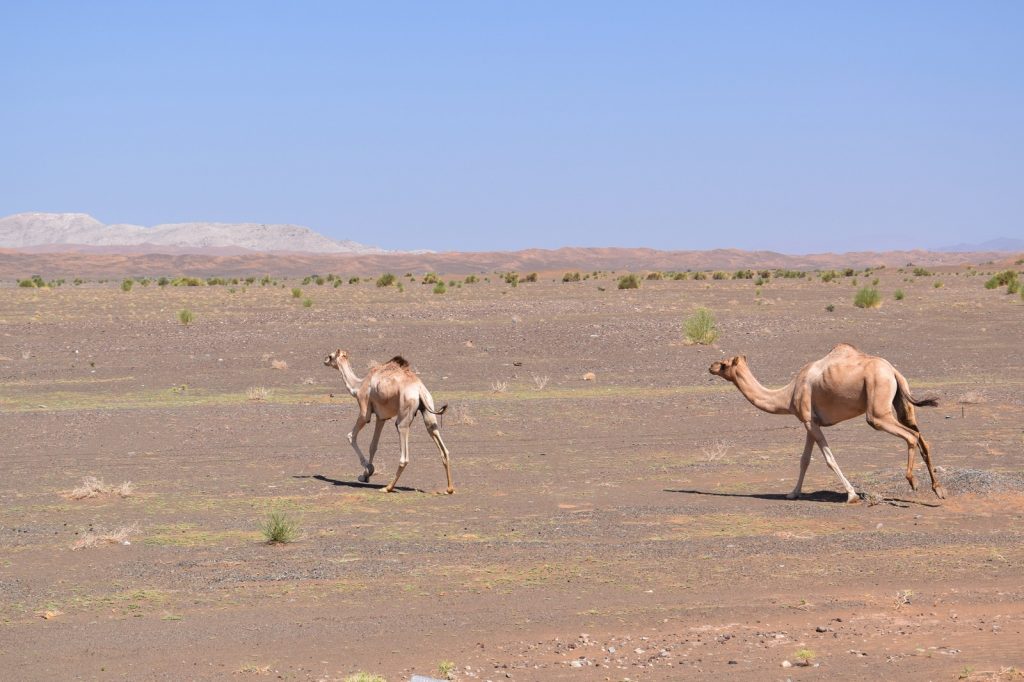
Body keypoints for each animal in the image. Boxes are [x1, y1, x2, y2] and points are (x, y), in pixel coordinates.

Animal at [323, 348, 452, 491]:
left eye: (330, 356)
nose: (325, 360)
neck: (358, 386)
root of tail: (419, 389)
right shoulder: (381, 417)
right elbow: (373, 446)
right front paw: (366, 475)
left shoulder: (364, 410)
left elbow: (351, 436)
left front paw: (367, 470)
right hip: (428, 407)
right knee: (439, 442)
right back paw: (449, 489)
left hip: (405, 412)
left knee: (403, 450)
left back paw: (388, 487)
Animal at [712, 342, 942, 501]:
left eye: (724, 364)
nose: (711, 366)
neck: (788, 394)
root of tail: (893, 371)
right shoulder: (810, 422)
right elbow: (804, 460)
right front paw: (793, 493)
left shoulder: (809, 420)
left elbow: (829, 459)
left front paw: (852, 495)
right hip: (902, 404)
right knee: (921, 437)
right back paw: (938, 489)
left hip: (877, 409)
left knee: (910, 435)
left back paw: (913, 482)